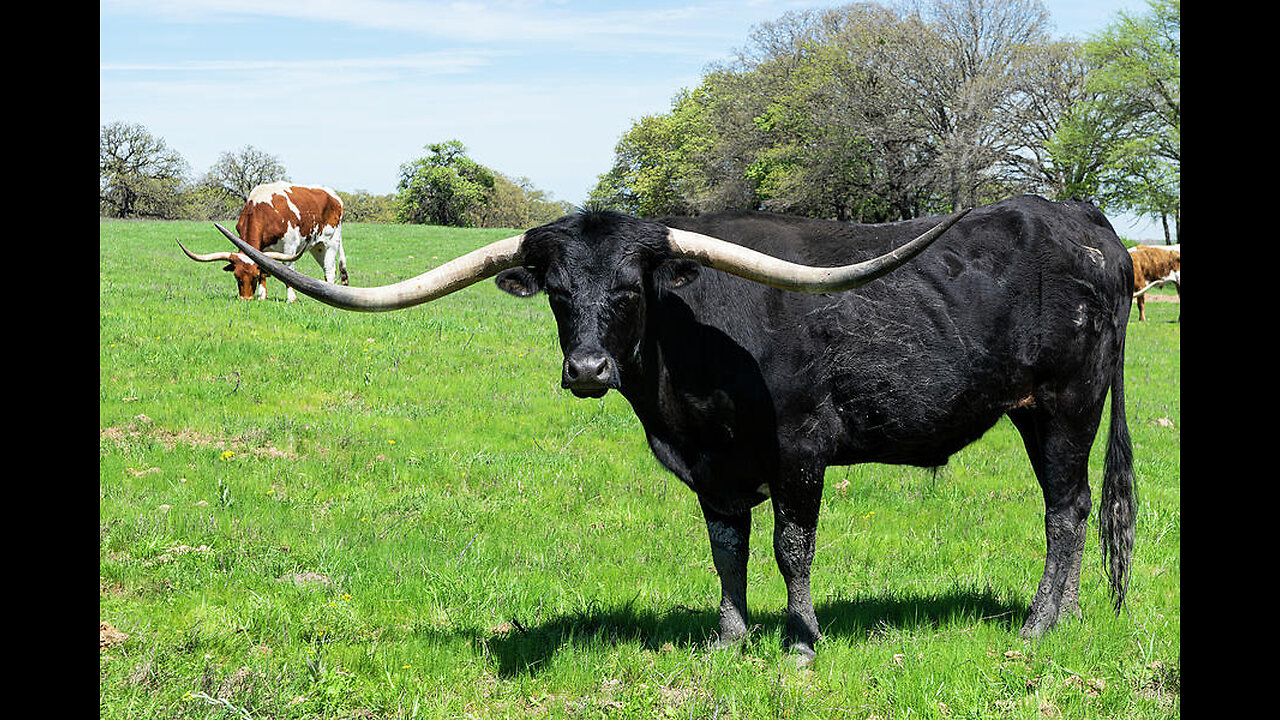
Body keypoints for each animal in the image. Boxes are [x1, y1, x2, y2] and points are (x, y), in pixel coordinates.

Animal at [179, 182, 349, 302]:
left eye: (253, 277)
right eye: (236, 276)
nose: (246, 299)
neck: (263, 210)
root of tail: (335, 196)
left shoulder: (290, 246)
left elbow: (288, 270)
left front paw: (291, 298)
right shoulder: (262, 249)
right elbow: (264, 267)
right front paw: (262, 296)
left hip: (330, 242)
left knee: (329, 269)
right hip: (316, 247)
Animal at [214, 194, 1136, 664]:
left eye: (632, 288)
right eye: (557, 292)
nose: (587, 370)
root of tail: (1088, 223)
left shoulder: (801, 448)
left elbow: (790, 549)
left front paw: (800, 644)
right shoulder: (710, 466)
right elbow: (726, 550)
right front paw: (728, 637)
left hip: (1065, 405)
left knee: (1067, 511)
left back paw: (1038, 625)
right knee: (1075, 510)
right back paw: (1064, 617)